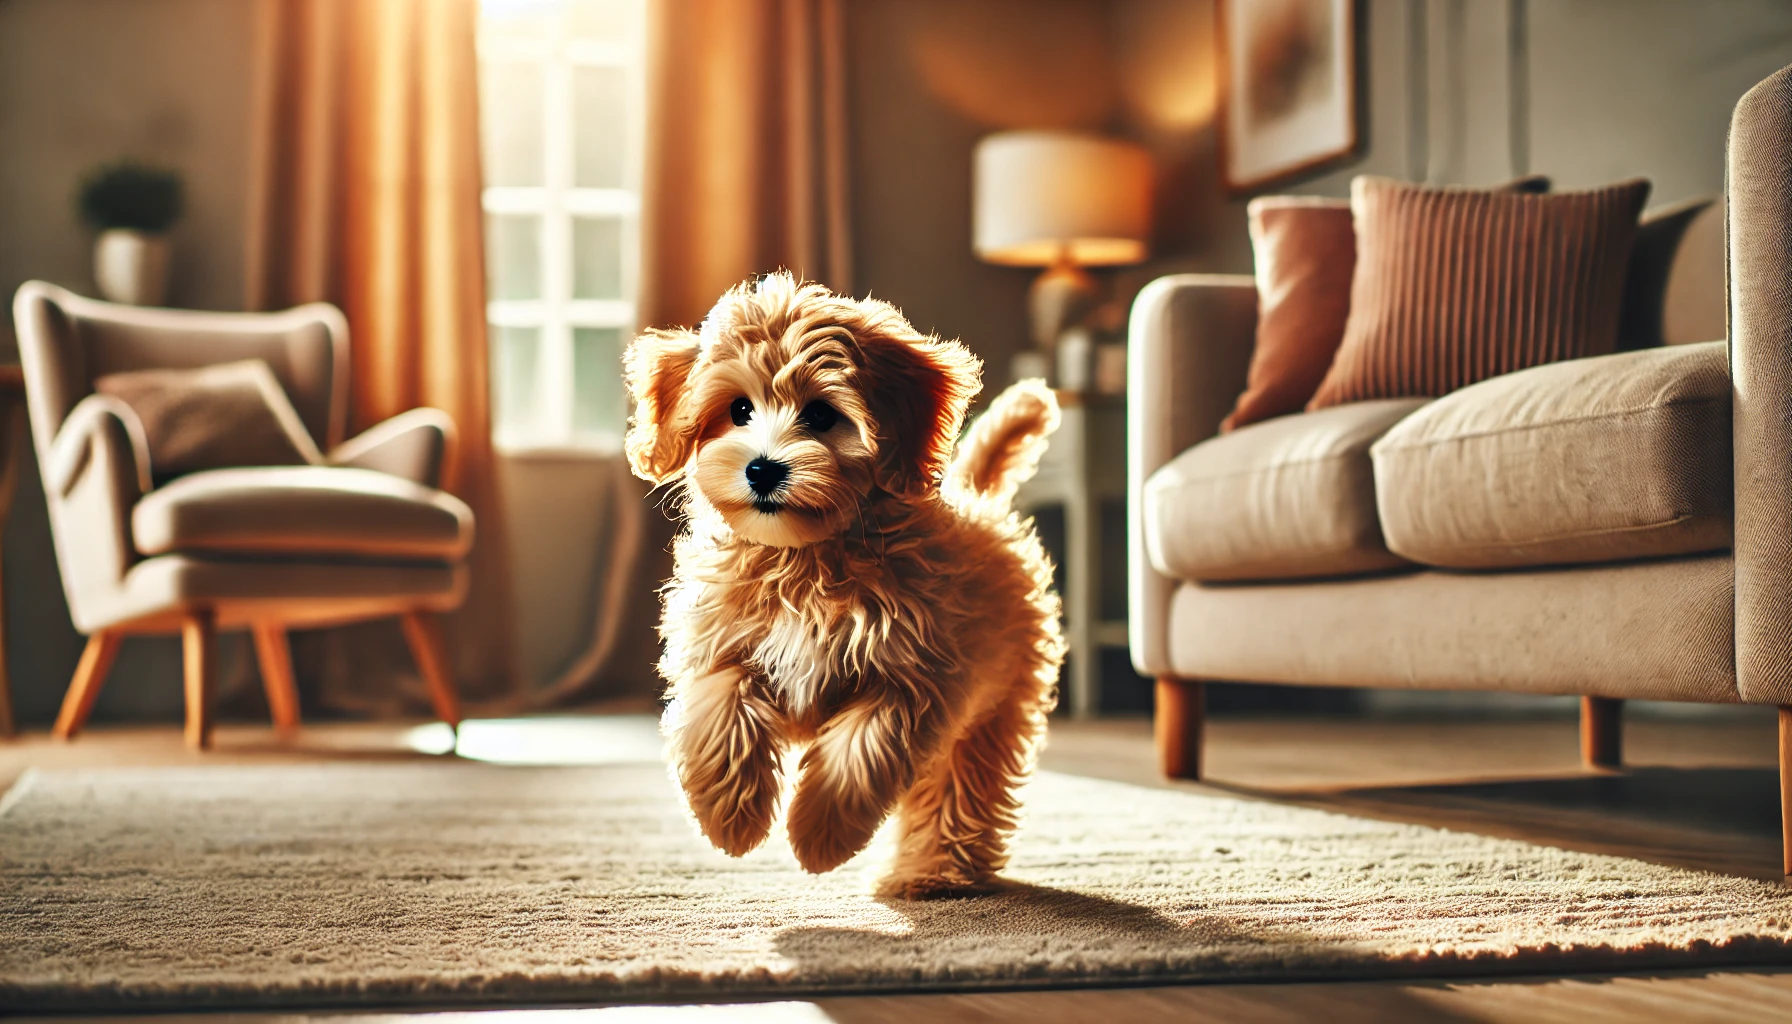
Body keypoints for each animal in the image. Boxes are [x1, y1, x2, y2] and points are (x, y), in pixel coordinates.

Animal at [623, 270, 1060, 896]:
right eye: (738, 408)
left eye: (822, 415)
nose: (763, 468)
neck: (804, 560)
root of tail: (981, 505)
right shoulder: (720, 643)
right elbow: (719, 715)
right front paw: (730, 818)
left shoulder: (911, 679)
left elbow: (860, 754)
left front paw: (819, 837)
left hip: (994, 708)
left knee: (961, 788)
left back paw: (933, 874)